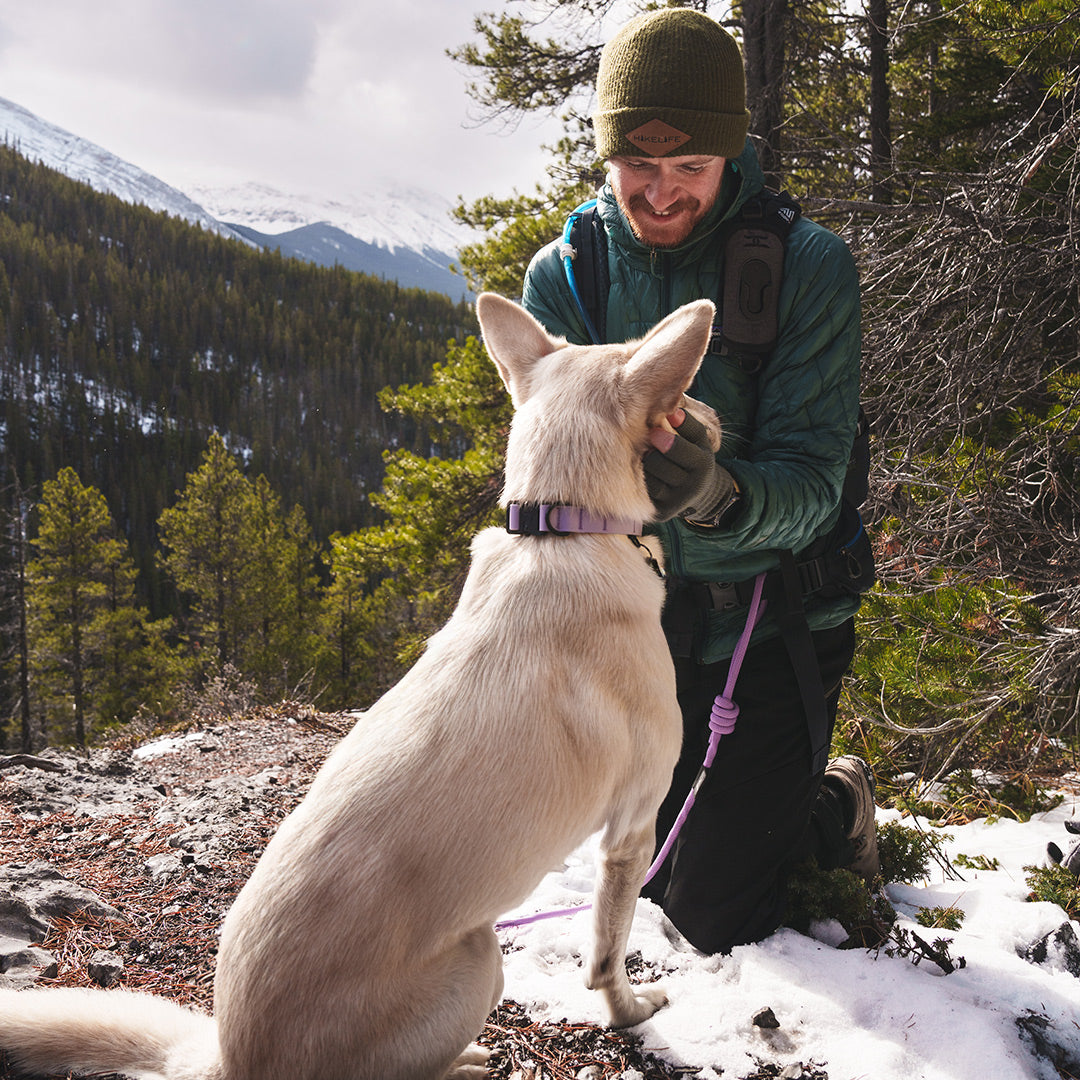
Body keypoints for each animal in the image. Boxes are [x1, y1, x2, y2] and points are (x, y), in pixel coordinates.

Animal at [2, 295, 725, 1080]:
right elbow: (607, 959)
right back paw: (466, 1062)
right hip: (481, 957)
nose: (714, 421)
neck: (559, 526)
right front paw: (631, 1011)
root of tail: (234, 1056)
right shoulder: (633, 830)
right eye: (680, 398)